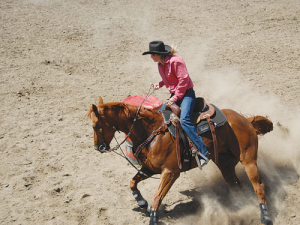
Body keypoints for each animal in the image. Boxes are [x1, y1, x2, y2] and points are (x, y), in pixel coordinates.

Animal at [86, 96, 274, 225]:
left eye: (95, 126)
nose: (98, 147)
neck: (151, 131)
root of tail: (245, 120)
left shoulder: (171, 172)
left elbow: (157, 197)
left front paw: (153, 217)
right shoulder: (149, 169)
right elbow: (132, 183)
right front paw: (142, 203)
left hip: (248, 159)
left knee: (259, 187)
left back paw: (265, 217)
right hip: (225, 165)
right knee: (236, 186)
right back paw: (239, 208)